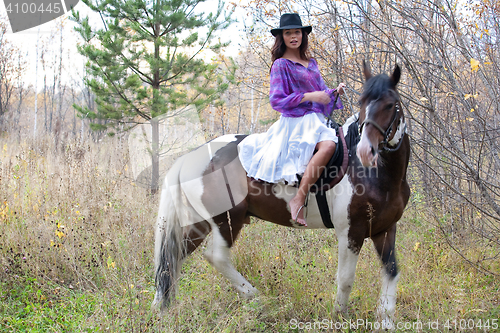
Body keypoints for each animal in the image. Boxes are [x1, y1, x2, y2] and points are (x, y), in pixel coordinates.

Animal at [153, 61, 410, 324]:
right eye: (362, 102)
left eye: (391, 104)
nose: (366, 152)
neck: (375, 175)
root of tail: (189, 158)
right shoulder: (351, 232)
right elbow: (346, 279)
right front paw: (339, 317)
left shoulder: (384, 229)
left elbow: (392, 271)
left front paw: (386, 319)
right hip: (227, 221)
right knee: (216, 257)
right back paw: (257, 298)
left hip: (201, 223)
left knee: (172, 257)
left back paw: (160, 310)